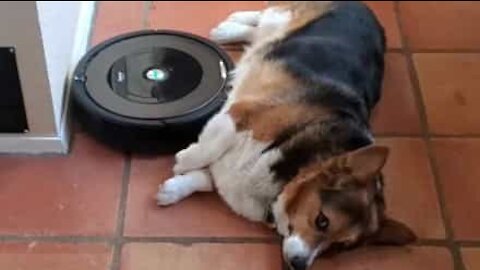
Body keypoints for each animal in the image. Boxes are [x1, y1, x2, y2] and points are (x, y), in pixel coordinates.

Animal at [157, 1, 416, 268]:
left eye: (338, 248)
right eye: (322, 220)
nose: (299, 264)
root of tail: (368, 10)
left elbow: (206, 179)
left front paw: (173, 189)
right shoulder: (241, 113)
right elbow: (210, 146)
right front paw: (183, 161)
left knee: (260, 33)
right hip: (283, 16)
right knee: (266, 15)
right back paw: (228, 28)